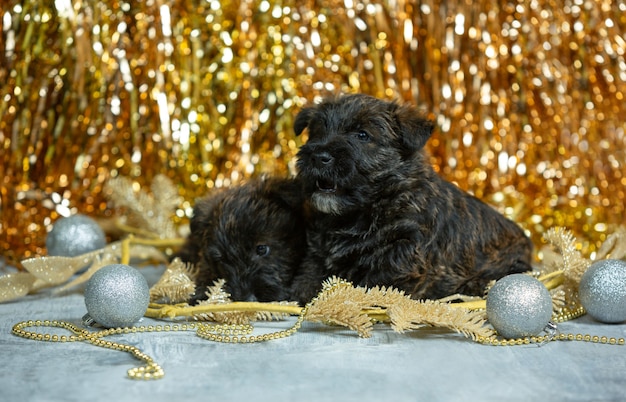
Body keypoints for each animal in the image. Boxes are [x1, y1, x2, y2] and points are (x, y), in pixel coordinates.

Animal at [290, 93, 528, 302]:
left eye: (362, 135)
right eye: (317, 131)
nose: (319, 156)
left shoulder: (405, 252)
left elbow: (377, 282)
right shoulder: (318, 252)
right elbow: (310, 275)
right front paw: (301, 294)